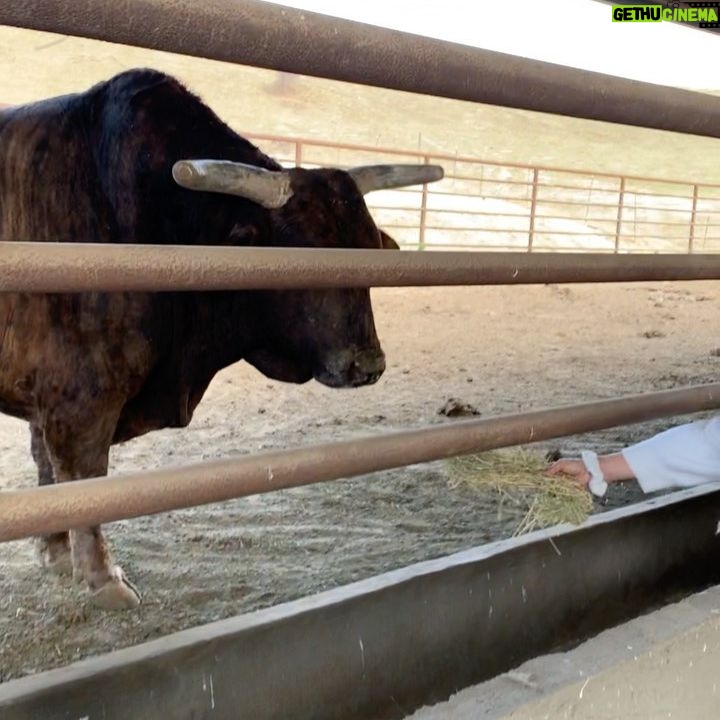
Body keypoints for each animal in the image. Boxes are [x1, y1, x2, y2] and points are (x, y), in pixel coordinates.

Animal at [0, 69, 443, 609]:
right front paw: (103, 578)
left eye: (369, 253)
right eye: (303, 258)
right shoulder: (79, 399)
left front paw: (56, 554)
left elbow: (48, 472)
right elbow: (80, 478)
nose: (366, 364)